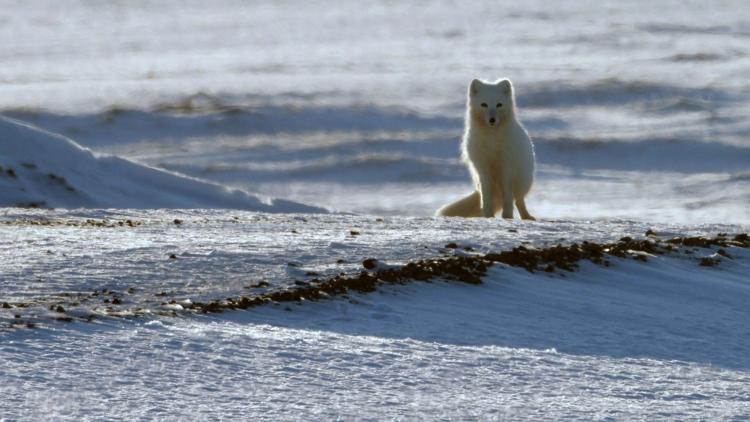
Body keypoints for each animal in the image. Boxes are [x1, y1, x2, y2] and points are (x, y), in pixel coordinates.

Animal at [438, 77, 536, 219]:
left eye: (499, 104)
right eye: (484, 104)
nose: (492, 119)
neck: (492, 140)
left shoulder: (507, 167)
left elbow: (508, 196)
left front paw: (507, 216)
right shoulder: (482, 168)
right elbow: (486, 198)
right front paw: (488, 216)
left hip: (523, 181)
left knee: (518, 200)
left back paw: (526, 216)